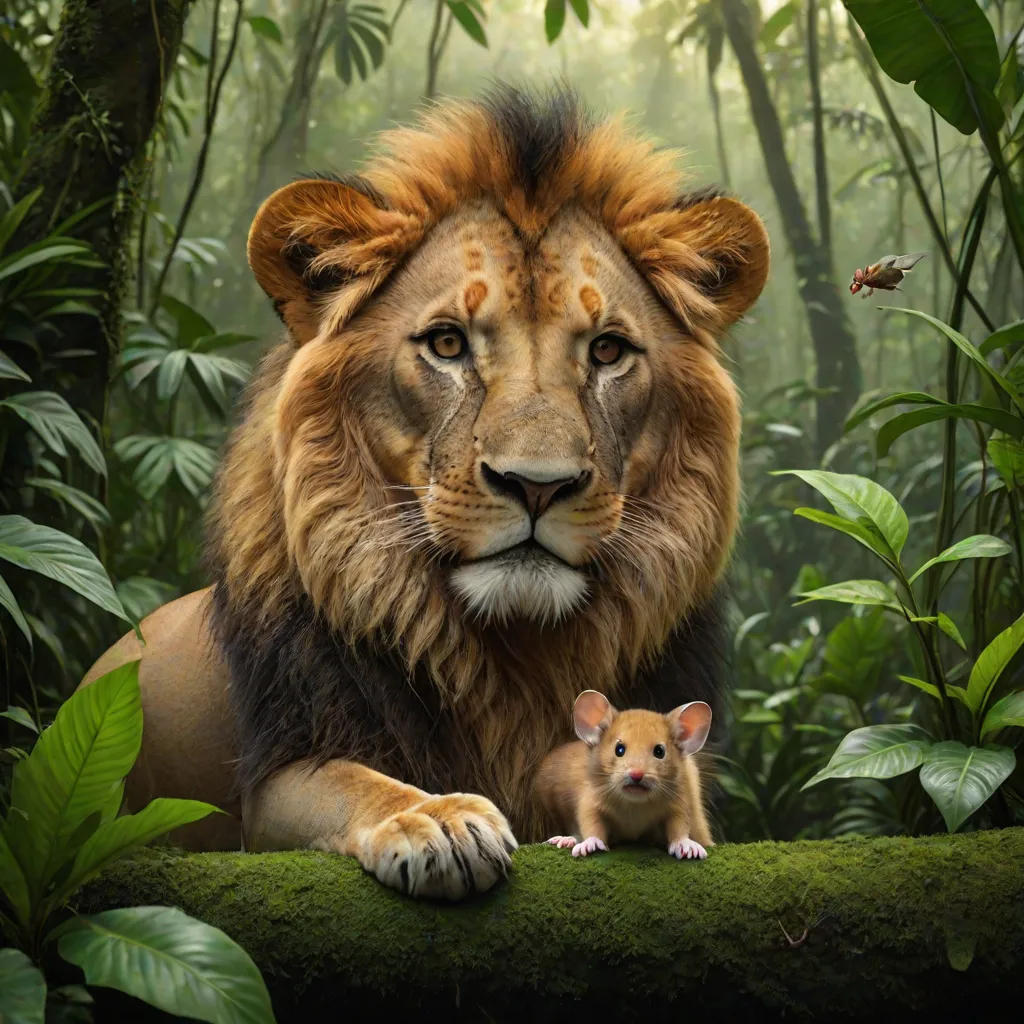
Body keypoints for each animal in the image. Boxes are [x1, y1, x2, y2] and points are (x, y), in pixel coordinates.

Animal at [82, 86, 769, 900]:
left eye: (607, 351)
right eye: (447, 344)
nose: (537, 485)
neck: (513, 653)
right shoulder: (280, 773)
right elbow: (356, 784)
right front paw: (438, 822)